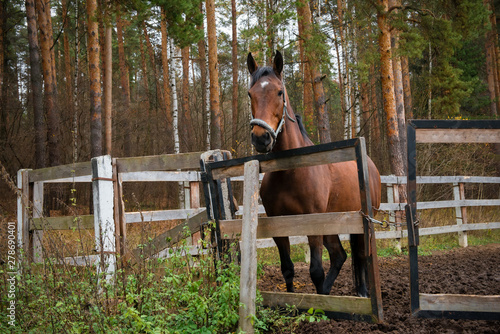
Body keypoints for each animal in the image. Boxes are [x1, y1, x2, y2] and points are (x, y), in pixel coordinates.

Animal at [248, 51, 380, 296]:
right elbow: (288, 269)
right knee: (340, 255)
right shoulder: (279, 226)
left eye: (279, 92)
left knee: (360, 254)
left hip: (363, 221)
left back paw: (362, 292)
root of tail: (371, 166)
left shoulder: (313, 225)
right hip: (332, 224)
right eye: (250, 93)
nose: (261, 138)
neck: (290, 172)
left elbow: (316, 270)